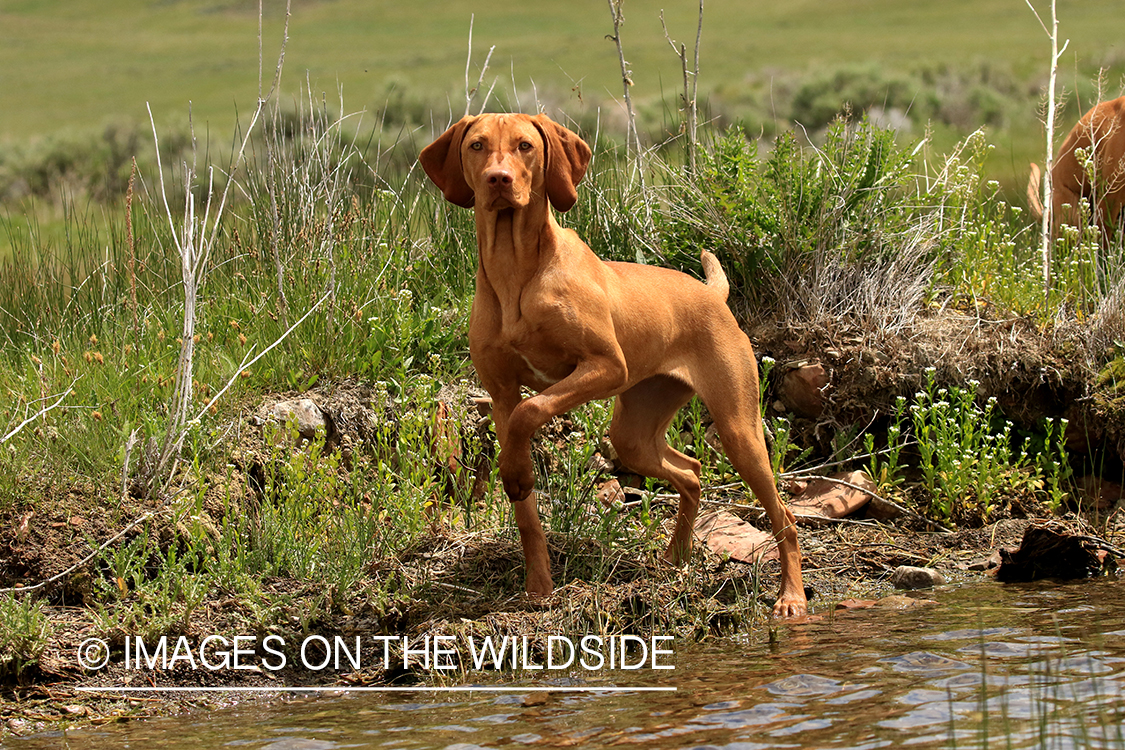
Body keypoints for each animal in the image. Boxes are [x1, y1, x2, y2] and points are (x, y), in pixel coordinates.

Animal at [423, 111, 810, 616]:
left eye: (525, 146)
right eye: (477, 145)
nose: (498, 179)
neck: (516, 272)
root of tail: (711, 293)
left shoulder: (605, 366)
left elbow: (532, 410)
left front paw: (517, 473)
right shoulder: (502, 392)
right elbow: (525, 504)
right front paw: (538, 584)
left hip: (738, 428)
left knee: (783, 515)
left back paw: (791, 596)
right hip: (633, 432)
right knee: (691, 471)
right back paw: (676, 555)